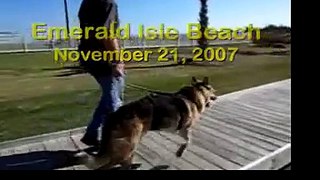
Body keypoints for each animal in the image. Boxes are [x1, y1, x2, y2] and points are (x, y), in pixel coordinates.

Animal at [74, 76, 218, 169]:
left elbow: (187, 140)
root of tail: (115, 114)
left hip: (133, 140)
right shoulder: (185, 128)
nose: (216, 96)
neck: (194, 95)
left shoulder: (178, 130)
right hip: (131, 142)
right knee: (110, 164)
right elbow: (188, 141)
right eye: (212, 90)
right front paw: (180, 152)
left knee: (122, 161)